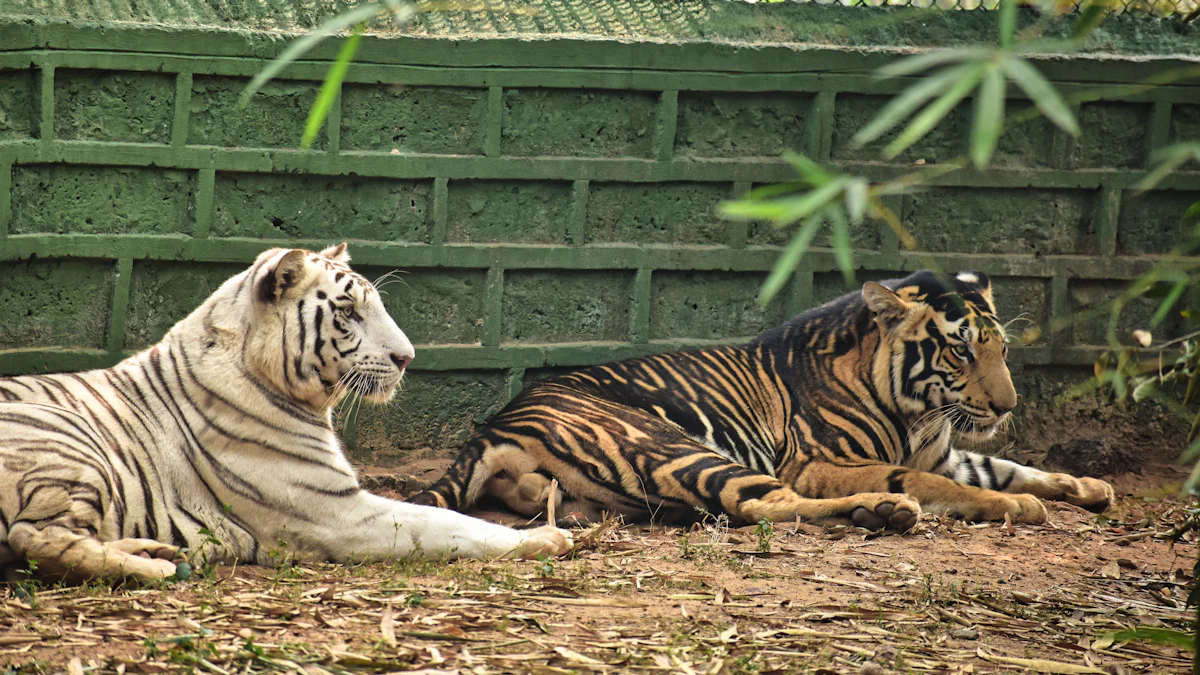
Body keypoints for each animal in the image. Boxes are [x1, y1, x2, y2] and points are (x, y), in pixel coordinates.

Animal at [0, 243, 571, 581]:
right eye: (348, 311)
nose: (407, 358)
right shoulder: (340, 515)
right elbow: (448, 524)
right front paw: (545, 537)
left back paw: (154, 553)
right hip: (67, 440)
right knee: (33, 537)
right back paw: (158, 570)